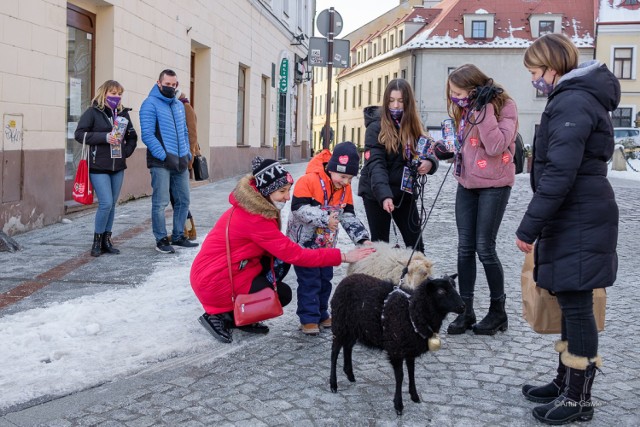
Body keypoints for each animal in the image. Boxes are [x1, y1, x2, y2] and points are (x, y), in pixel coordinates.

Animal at [332, 274, 462, 414]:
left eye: (455, 286)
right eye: (441, 291)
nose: (463, 306)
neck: (412, 311)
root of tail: (347, 279)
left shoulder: (409, 349)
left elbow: (411, 372)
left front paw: (414, 396)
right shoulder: (396, 350)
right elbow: (400, 376)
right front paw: (398, 405)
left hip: (353, 329)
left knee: (348, 347)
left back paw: (350, 374)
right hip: (339, 325)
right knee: (334, 353)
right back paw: (333, 384)